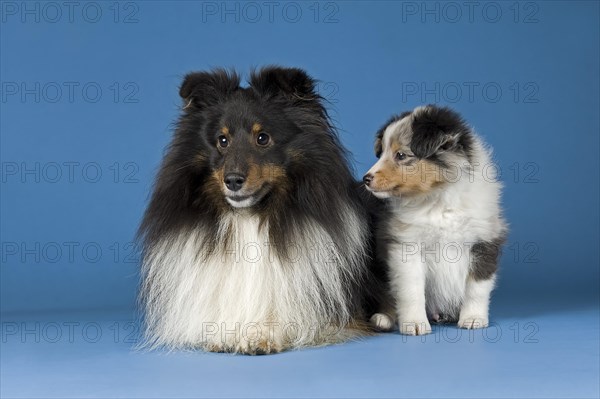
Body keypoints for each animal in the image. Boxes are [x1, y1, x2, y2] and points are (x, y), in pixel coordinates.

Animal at [360, 104, 506, 336]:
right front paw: (414, 323)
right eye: (381, 153)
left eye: (401, 155)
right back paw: (383, 318)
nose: (366, 179)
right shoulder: (407, 246)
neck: (439, 199)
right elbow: (411, 289)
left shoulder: (484, 242)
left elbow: (476, 287)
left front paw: (473, 318)